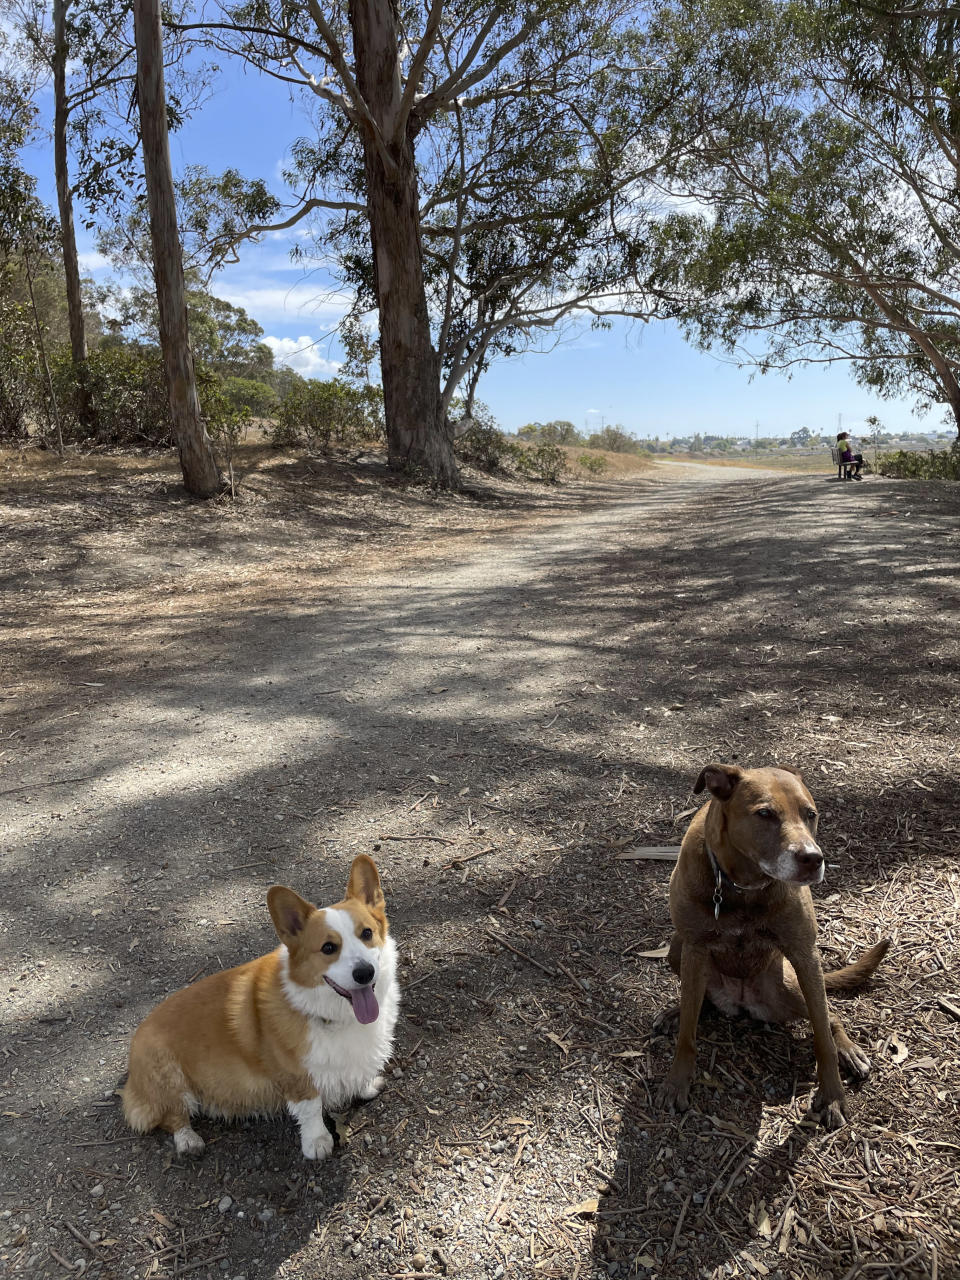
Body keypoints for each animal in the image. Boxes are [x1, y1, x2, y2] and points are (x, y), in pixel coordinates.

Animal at [660, 762, 890, 1126]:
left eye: (811, 814)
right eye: (765, 813)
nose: (813, 858)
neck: (744, 886)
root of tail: (741, 1002)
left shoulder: (804, 954)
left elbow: (822, 1034)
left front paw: (832, 1095)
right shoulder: (694, 949)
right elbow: (687, 1034)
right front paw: (677, 1081)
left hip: (790, 986)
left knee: (830, 1015)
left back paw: (848, 1050)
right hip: (676, 948)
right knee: (697, 1003)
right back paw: (677, 1011)